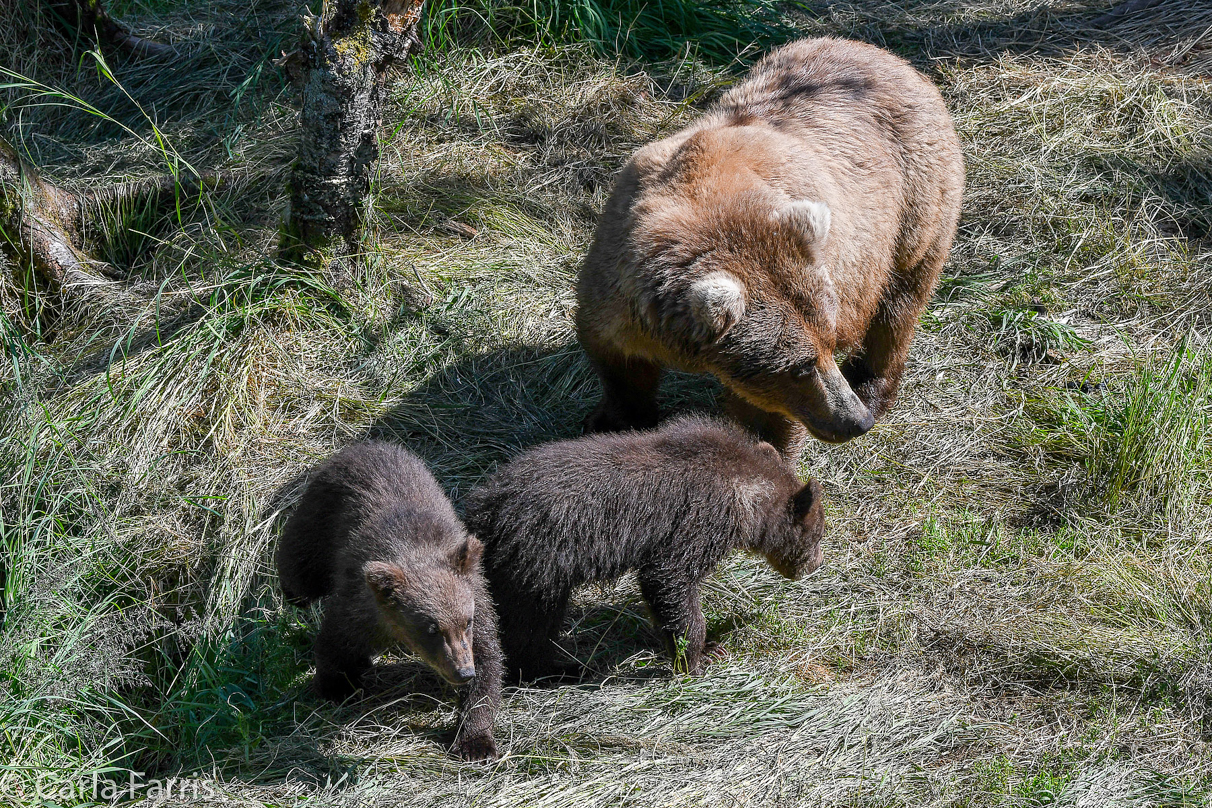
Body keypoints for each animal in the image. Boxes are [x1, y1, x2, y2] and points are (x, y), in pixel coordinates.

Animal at [576, 37, 964, 457]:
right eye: (801, 365)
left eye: (828, 345)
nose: (854, 421)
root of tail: (889, 57)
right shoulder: (620, 285)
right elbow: (620, 362)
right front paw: (613, 421)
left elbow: (769, 416)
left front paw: (769, 451)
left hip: (915, 202)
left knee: (899, 303)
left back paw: (870, 385)